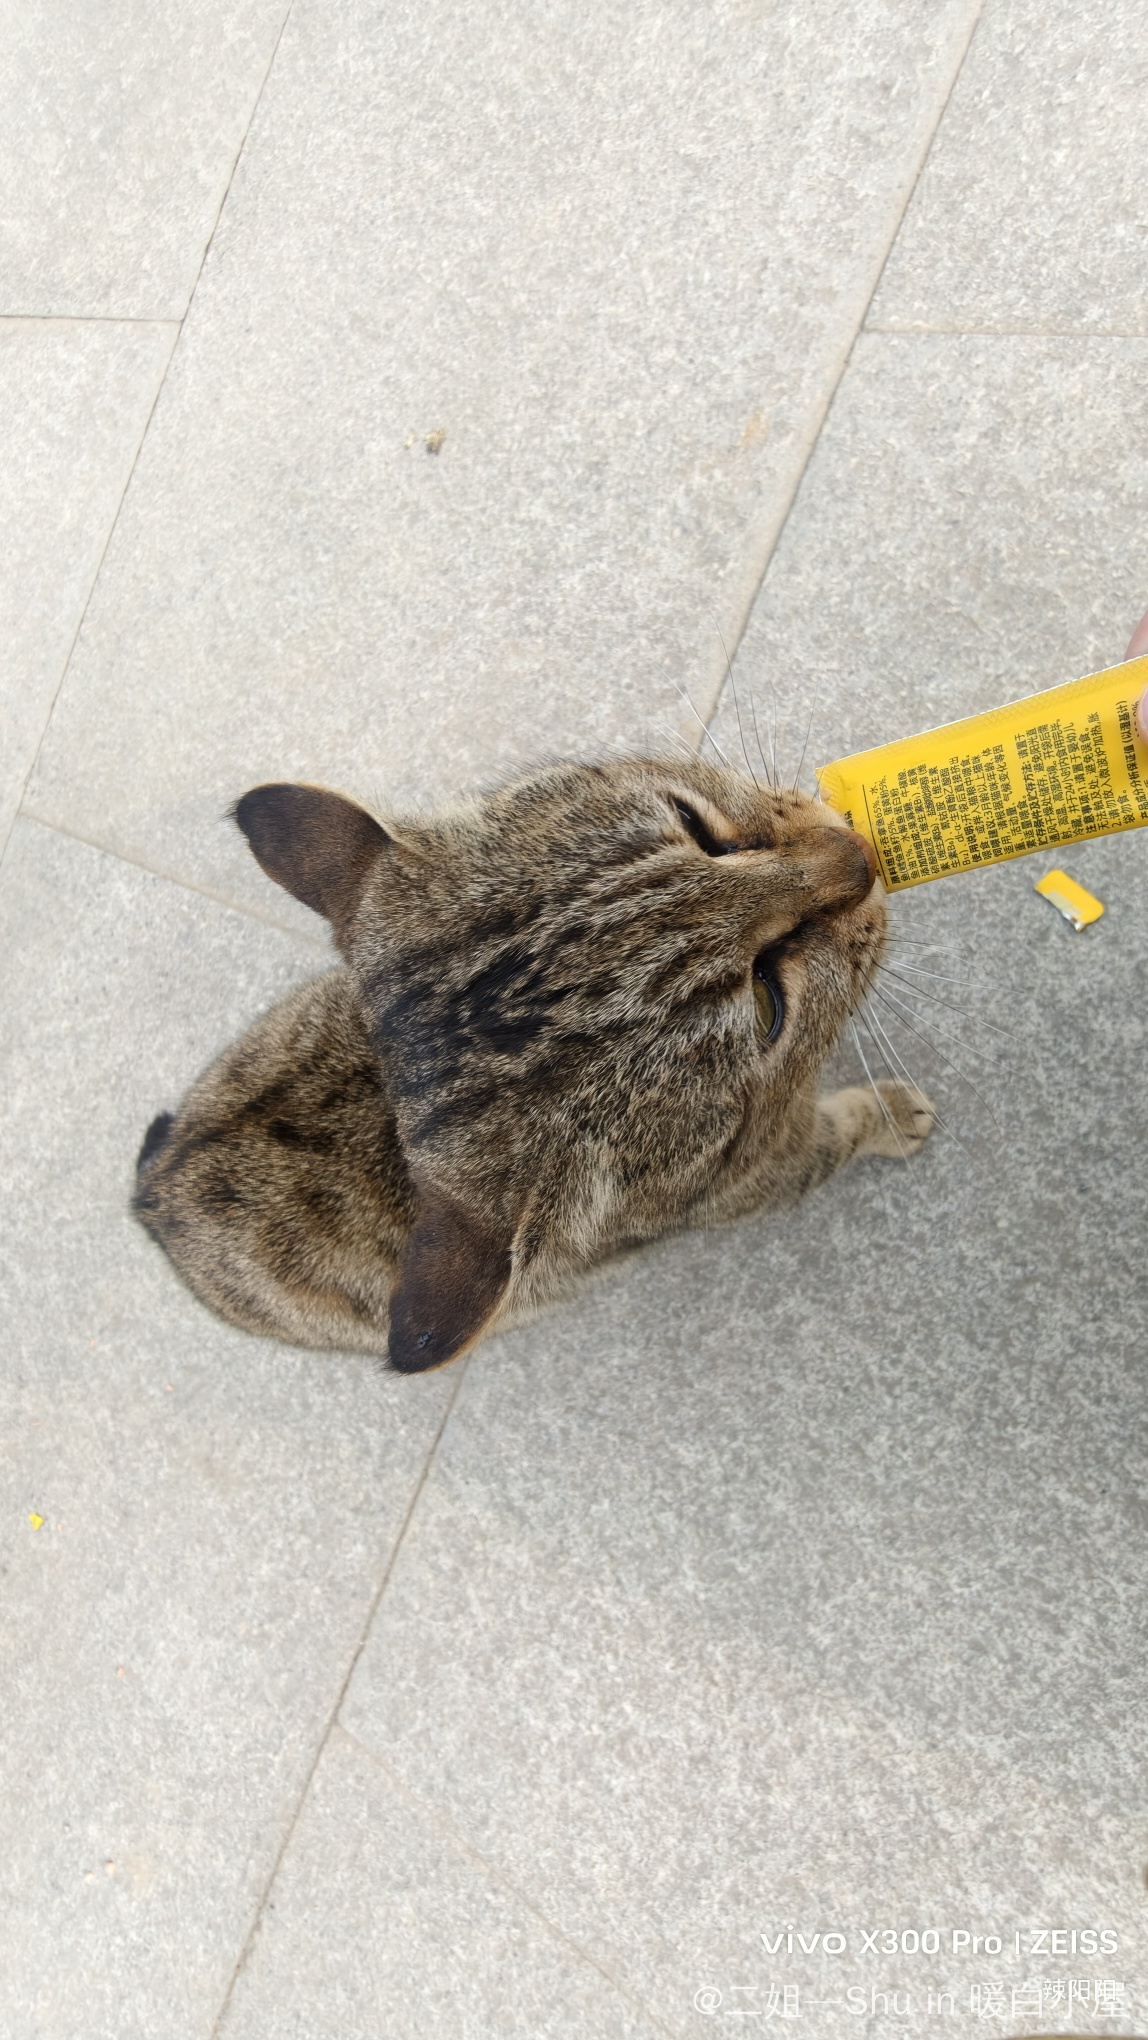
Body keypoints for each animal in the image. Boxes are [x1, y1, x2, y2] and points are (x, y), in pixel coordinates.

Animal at [133, 755, 935, 1372]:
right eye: (769, 1002)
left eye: (694, 824)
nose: (860, 856)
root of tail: (149, 1197)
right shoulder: (761, 1176)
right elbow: (837, 1136)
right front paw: (891, 1112)